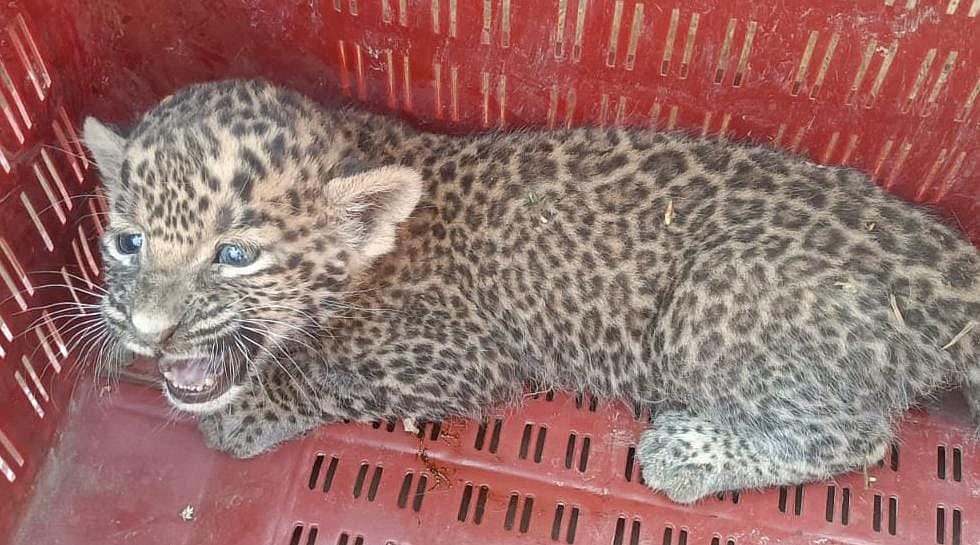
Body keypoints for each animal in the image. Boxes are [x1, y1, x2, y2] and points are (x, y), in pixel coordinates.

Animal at [80, 78, 980, 504]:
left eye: (235, 255)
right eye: (129, 241)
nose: (149, 331)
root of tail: (941, 257)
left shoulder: (461, 355)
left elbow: (329, 374)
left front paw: (249, 410)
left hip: (709, 296)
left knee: (858, 436)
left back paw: (689, 450)